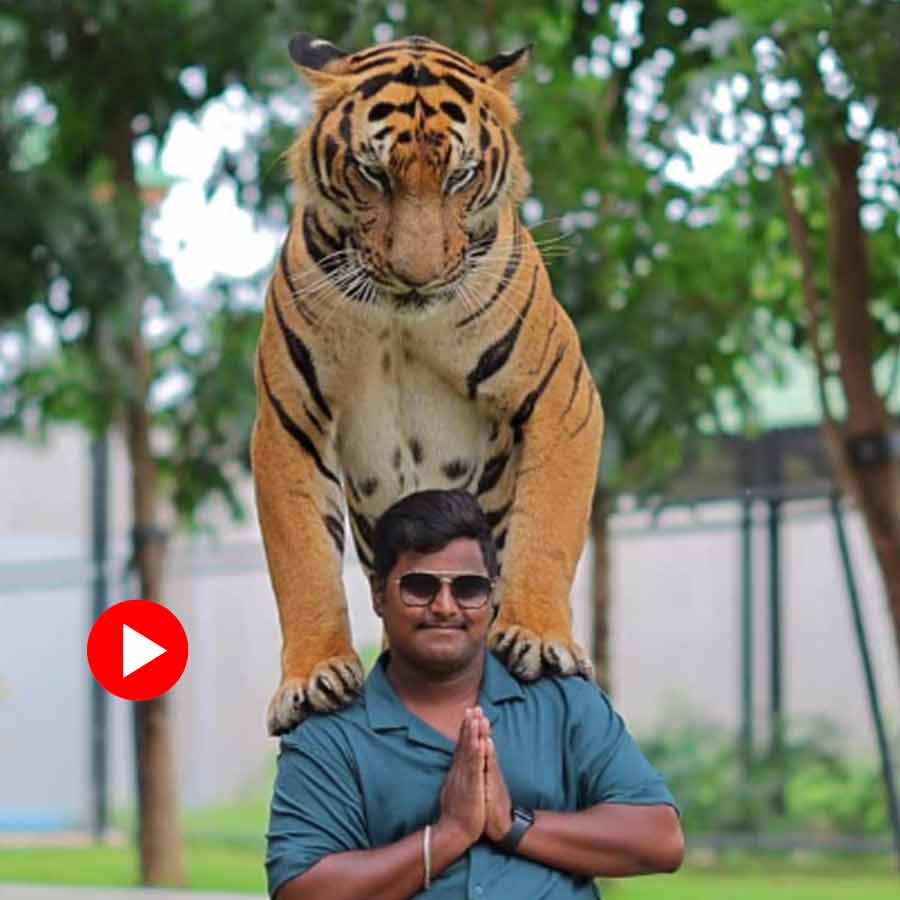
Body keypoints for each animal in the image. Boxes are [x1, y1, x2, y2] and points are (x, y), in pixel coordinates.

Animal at [253, 32, 604, 735]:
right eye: (373, 174)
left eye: (461, 177)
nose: (416, 274)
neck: (401, 315)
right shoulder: (288, 419)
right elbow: (301, 560)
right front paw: (311, 678)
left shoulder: (563, 394)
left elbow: (549, 526)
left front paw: (539, 636)